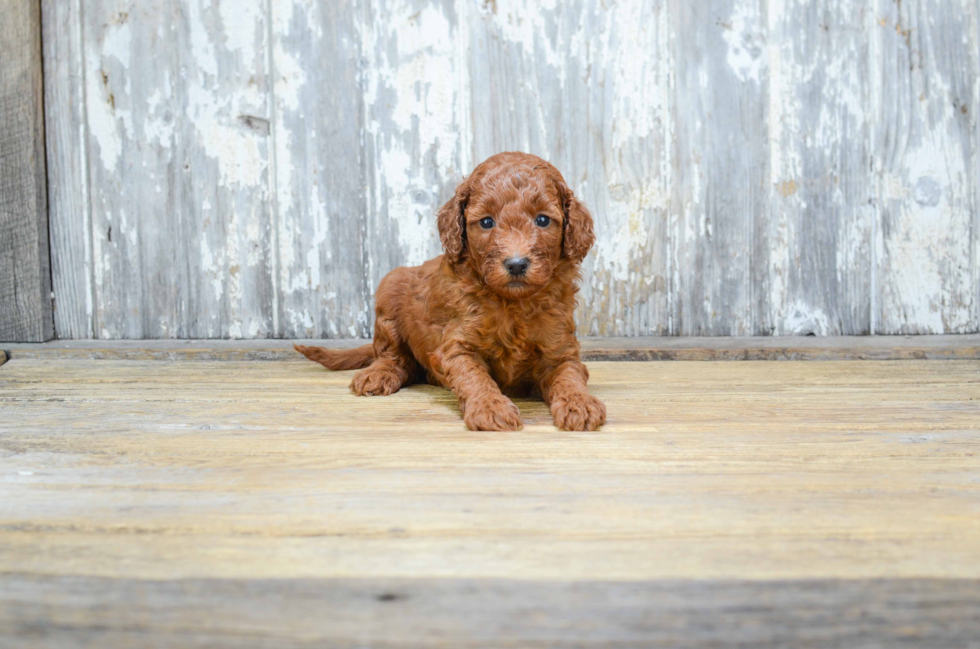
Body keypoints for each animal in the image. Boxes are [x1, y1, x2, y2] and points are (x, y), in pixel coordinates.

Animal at [294, 151, 604, 430]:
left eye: (542, 220)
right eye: (487, 222)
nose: (516, 264)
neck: (512, 303)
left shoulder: (560, 350)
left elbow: (569, 376)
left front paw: (580, 404)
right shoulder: (456, 345)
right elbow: (474, 376)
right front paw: (490, 408)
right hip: (390, 287)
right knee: (394, 356)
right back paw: (379, 374)